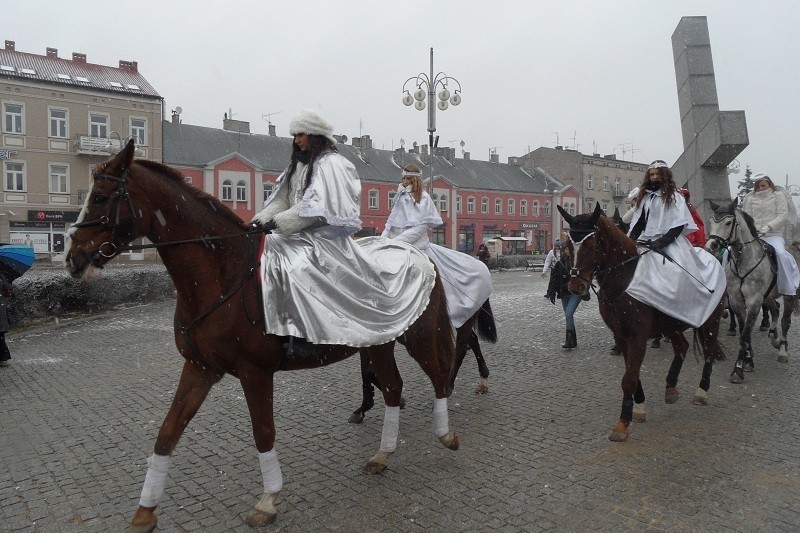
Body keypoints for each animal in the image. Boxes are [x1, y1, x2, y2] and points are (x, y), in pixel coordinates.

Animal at [65, 139, 462, 528]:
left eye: (100, 197)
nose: (72, 258)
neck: (222, 275)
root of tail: (417, 252)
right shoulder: (200, 367)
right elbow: (167, 433)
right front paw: (145, 511)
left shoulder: (255, 372)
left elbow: (263, 432)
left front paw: (268, 500)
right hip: (378, 342)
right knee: (393, 388)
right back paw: (383, 454)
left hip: (418, 337)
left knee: (440, 376)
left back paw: (446, 434)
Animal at [556, 203, 724, 440]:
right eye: (570, 244)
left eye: (591, 244)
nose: (575, 286)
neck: (624, 280)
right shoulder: (621, 336)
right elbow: (632, 374)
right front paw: (638, 408)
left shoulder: (637, 337)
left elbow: (629, 378)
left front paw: (622, 424)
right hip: (670, 323)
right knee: (682, 346)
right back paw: (670, 388)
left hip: (711, 321)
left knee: (709, 351)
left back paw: (701, 392)